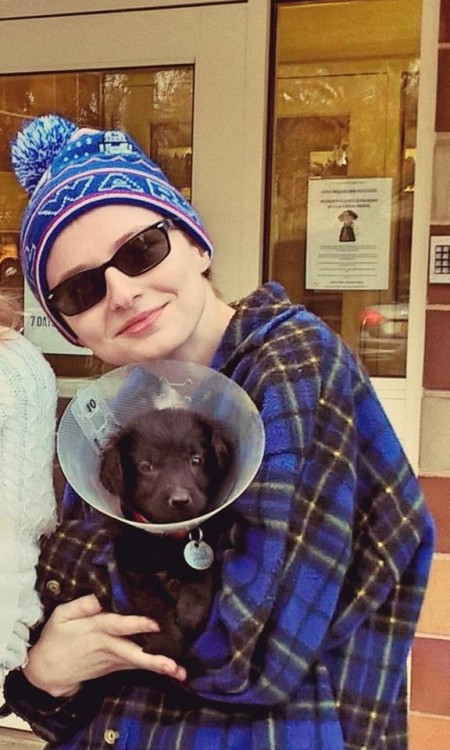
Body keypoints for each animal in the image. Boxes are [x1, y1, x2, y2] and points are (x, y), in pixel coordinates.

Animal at [97, 408, 234, 660]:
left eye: (196, 460)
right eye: (146, 467)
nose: (180, 500)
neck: (168, 535)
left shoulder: (207, 534)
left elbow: (201, 569)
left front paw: (191, 610)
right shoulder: (131, 560)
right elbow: (153, 600)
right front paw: (167, 643)